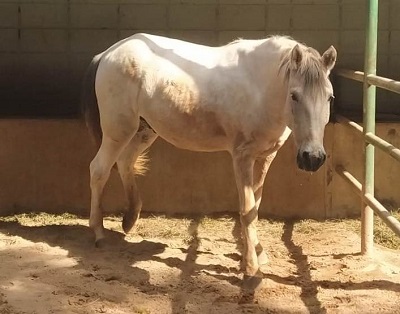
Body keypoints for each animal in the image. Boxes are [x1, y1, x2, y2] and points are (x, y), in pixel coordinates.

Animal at [82, 33, 338, 280]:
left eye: (329, 98)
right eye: (294, 96)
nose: (312, 157)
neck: (261, 89)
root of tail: (107, 54)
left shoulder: (265, 157)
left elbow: (255, 206)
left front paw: (257, 255)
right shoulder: (242, 157)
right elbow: (247, 210)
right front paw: (251, 269)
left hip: (144, 131)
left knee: (125, 163)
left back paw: (129, 219)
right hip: (118, 131)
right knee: (99, 170)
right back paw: (99, 232)